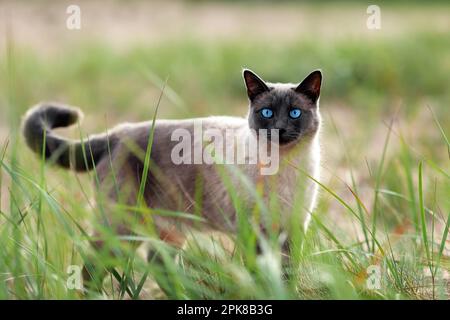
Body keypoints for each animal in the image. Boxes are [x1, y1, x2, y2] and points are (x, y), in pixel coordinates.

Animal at [22, 69, 324, 292]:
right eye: (267, 113)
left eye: (295, 113)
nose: (279, 130)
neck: (282, 165)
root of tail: (118, 132)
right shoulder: (253, 230)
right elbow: (261, 275)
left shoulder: (293, 226)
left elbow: (287, 274)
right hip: (121, 227)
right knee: (91, 268)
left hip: (168, 231)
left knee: (159, 268)